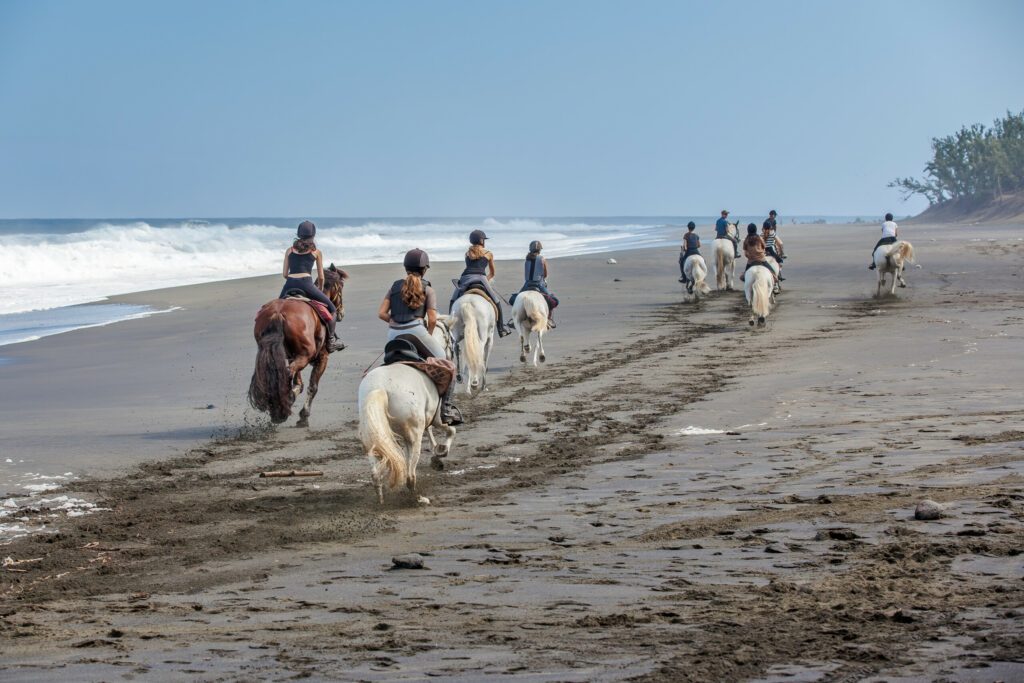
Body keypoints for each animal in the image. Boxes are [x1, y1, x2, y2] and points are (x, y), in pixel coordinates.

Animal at [247, 264, 348, 423]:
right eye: (341, 286)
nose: (341, 313)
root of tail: (278, 313)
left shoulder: (294, 356)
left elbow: (299, 384)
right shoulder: (322, 357)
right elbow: (312, 387)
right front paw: (304, 414)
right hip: (305, 356)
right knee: (289, 373)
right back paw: (282, 407)